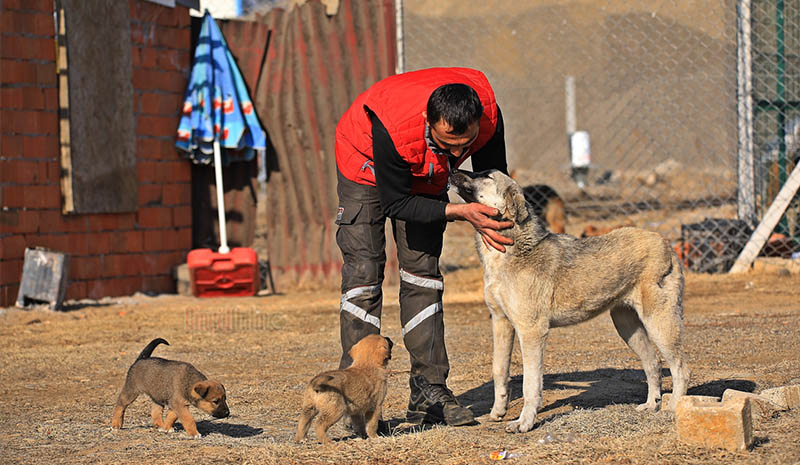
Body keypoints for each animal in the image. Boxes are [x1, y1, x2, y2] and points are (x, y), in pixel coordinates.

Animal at [450, 169, 688, 434]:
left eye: (487, 176)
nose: (452, 170)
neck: (511, 251)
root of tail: (666, 243)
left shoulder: (532, 332)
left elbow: (531, 384)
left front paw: (524, 422)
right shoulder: (500, 322)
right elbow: (499, 370)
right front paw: (498, 412)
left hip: (659, 324)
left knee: (681, 368)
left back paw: (672, 407)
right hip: (627, 327)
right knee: (653, 363)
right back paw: (650, 405)